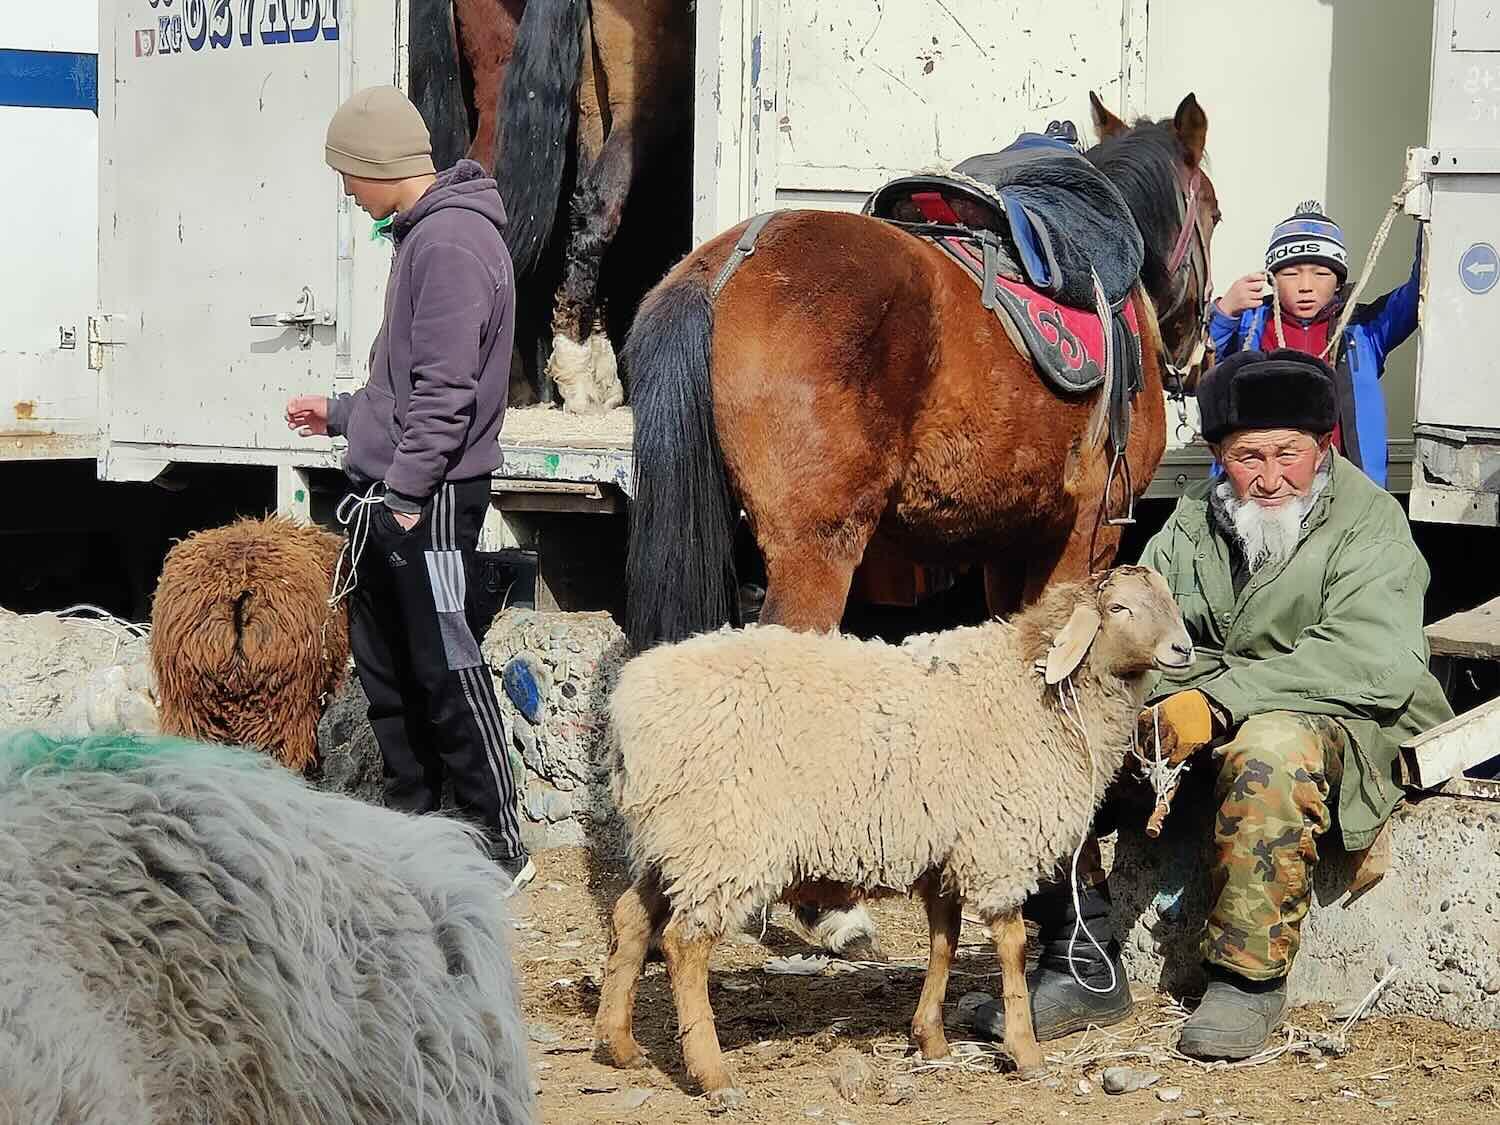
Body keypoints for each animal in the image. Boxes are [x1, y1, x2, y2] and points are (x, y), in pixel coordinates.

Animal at [594, 565, 1192, 1102]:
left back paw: (619, 1044)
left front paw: (932, 1040)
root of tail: (627, 706)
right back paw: (712, 1074)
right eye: (1119, 608)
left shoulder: (946, 852)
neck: (1036, 688)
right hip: (725, 840)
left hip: (676, 838)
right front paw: (1024, 1051)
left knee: (631, 919)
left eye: (1169, 597)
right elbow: (1012, 948)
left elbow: (944, 942)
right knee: (685, 943)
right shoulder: (998, 844)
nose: (1184, 649)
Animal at [620, 93, 1219, 958]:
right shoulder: (1088, 534)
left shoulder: (1011, 547)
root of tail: (723, 266)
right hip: (817, 553)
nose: (1201, 345)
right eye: (1213, 210)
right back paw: (827, 902)